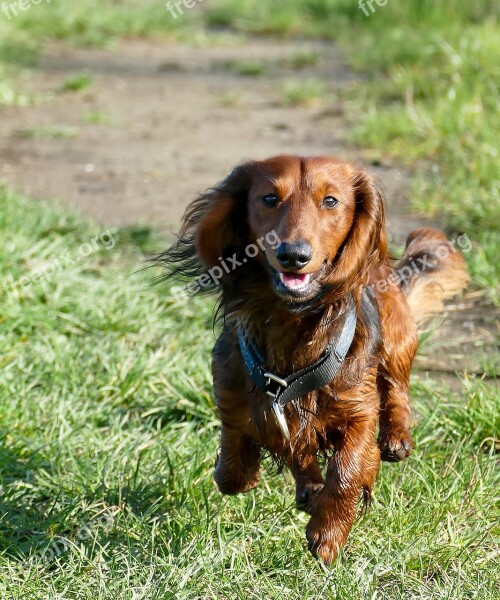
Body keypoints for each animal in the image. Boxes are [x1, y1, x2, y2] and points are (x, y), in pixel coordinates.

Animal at [156, 155, 468, 564]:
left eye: (331, 201)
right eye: (269, 198)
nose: (294, 255)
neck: (293, 324)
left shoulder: (359, 408)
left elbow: (349, 467)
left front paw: (329, 532)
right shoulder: (240, 396)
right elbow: (236, 465)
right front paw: (249, 471)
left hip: (396, 335)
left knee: (396, 389)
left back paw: (395, 439)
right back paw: (309, 487)